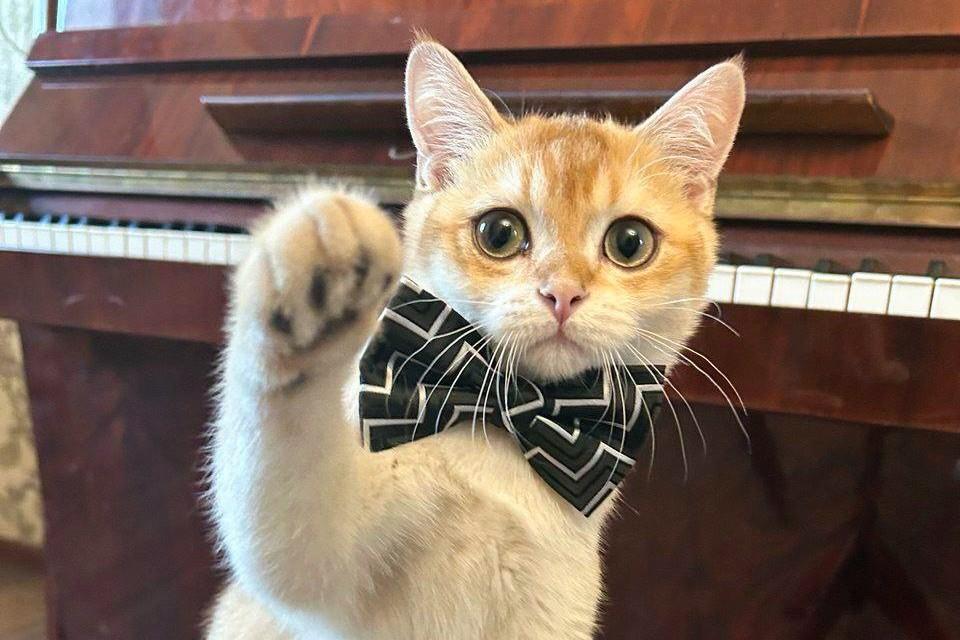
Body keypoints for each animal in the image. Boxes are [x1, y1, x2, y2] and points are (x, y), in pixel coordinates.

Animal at [206, 39, 745, 640]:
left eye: (630, 242)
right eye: (499, 233)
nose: (562, 294)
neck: (512, 428)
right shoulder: (324, 560)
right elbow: (281, 480)